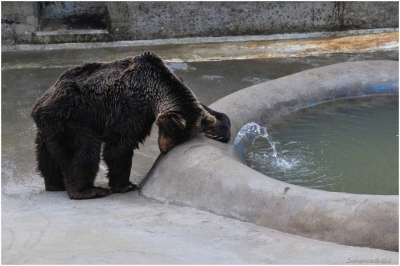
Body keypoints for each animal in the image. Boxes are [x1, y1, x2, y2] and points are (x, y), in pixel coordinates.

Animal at [30, 51, 231, 200]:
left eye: (182, 137)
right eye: (172, 133)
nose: (164, 149)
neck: (154, 85)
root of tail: (39, 105)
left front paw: (218, 131)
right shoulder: (130, 107)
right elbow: (120, 144)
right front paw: (126, 185)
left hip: (48, 128)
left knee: (46, 155)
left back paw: (55, 184)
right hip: (70, 118)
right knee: (84, 149)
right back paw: (88, 190)